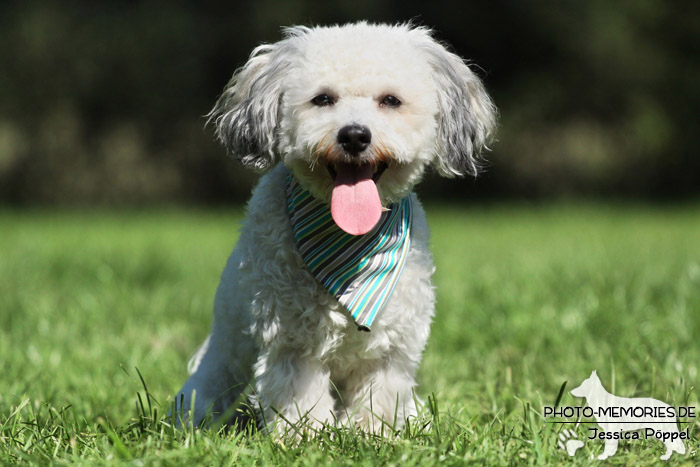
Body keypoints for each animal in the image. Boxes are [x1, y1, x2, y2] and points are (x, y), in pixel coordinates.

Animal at [178, 22, 494, 436]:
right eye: (323, 99)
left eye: (390, 100)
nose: (355, 135)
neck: (349, 243)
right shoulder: (292, 340)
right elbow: (301, 398)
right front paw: (305, 438)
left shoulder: (393, 345)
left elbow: (380, 396)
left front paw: (372, 435)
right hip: (226, 351)